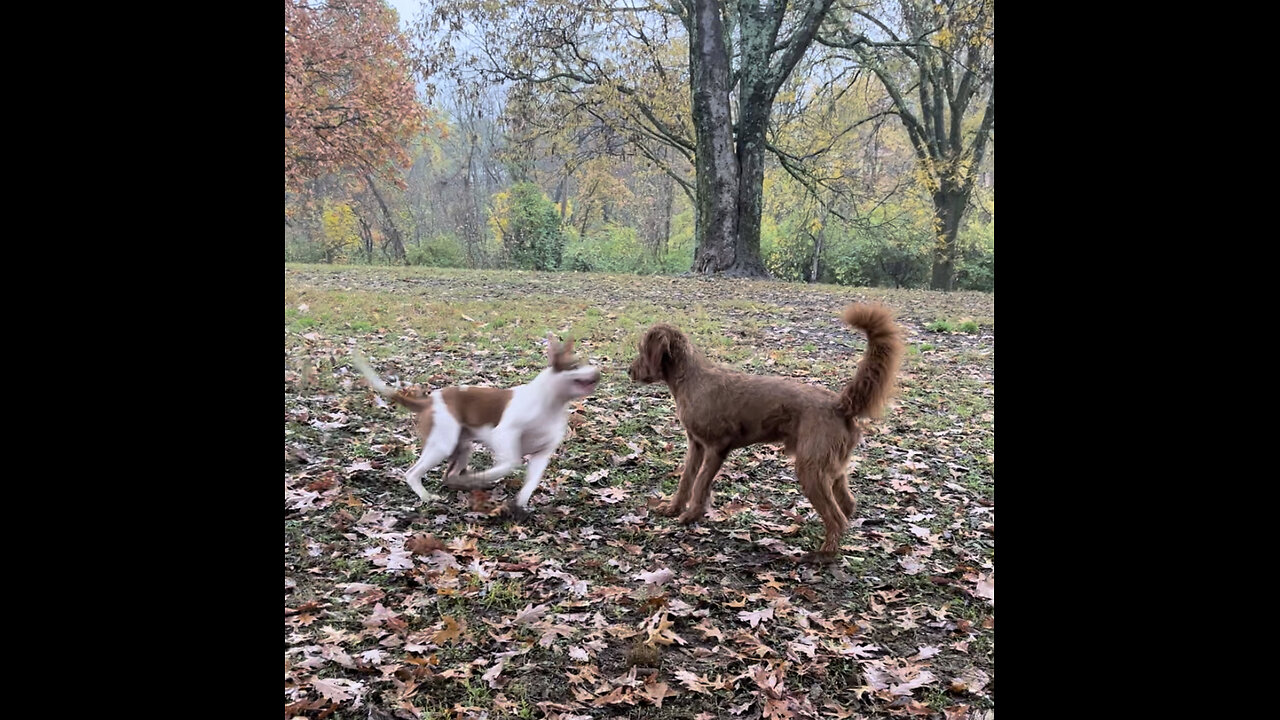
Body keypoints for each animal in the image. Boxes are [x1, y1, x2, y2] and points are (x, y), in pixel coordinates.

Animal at [350, 335, 599, 515]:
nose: (598, 372)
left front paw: (518, 506)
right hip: (442, 445)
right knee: (412, 473)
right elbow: (507, 464)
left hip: (462, 446)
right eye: (574, 365)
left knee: (448, 475)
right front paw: (479, 478)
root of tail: (429, 401)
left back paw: (460, 484)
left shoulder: (542, 455)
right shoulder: (503, 435)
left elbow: (529, 484)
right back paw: (428, 496)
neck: (551, 403)